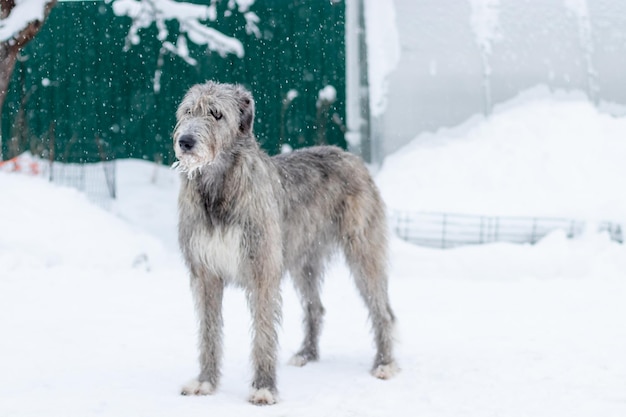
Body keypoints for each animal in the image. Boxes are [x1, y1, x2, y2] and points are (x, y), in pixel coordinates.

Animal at [172, 80, 394, 404]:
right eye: (188, 111)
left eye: (216, 114)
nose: (185, 141)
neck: (219, 188)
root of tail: (351, 156)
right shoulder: (205, 274)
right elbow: (208, 331)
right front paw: (206, 382)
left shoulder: (262, 269)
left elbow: (264, 333)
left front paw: (264, 387)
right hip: (304, 261)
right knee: (316, 307)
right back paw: (307, 354)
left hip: (363, 252)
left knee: (383, 311)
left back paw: (385, 363)